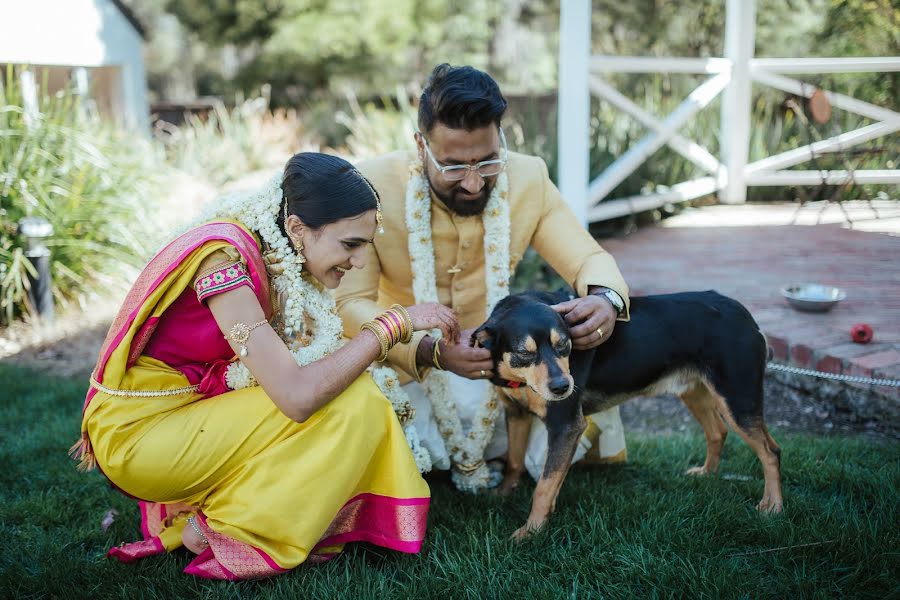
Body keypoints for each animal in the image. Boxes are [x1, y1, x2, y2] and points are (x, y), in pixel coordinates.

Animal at [474, 290, 784, 540]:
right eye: (524, 353)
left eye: (564, 344)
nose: (563, 387)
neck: (520, 380)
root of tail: (747, 315)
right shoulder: (515, 413)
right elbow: (514, 460)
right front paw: (503, 493)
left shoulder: (565, 425)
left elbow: (544, 486)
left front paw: (531, 531)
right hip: (695, 392)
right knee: (718, 432)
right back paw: (706, 474)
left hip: (737, 399)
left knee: (771, 451)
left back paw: (773, 506)